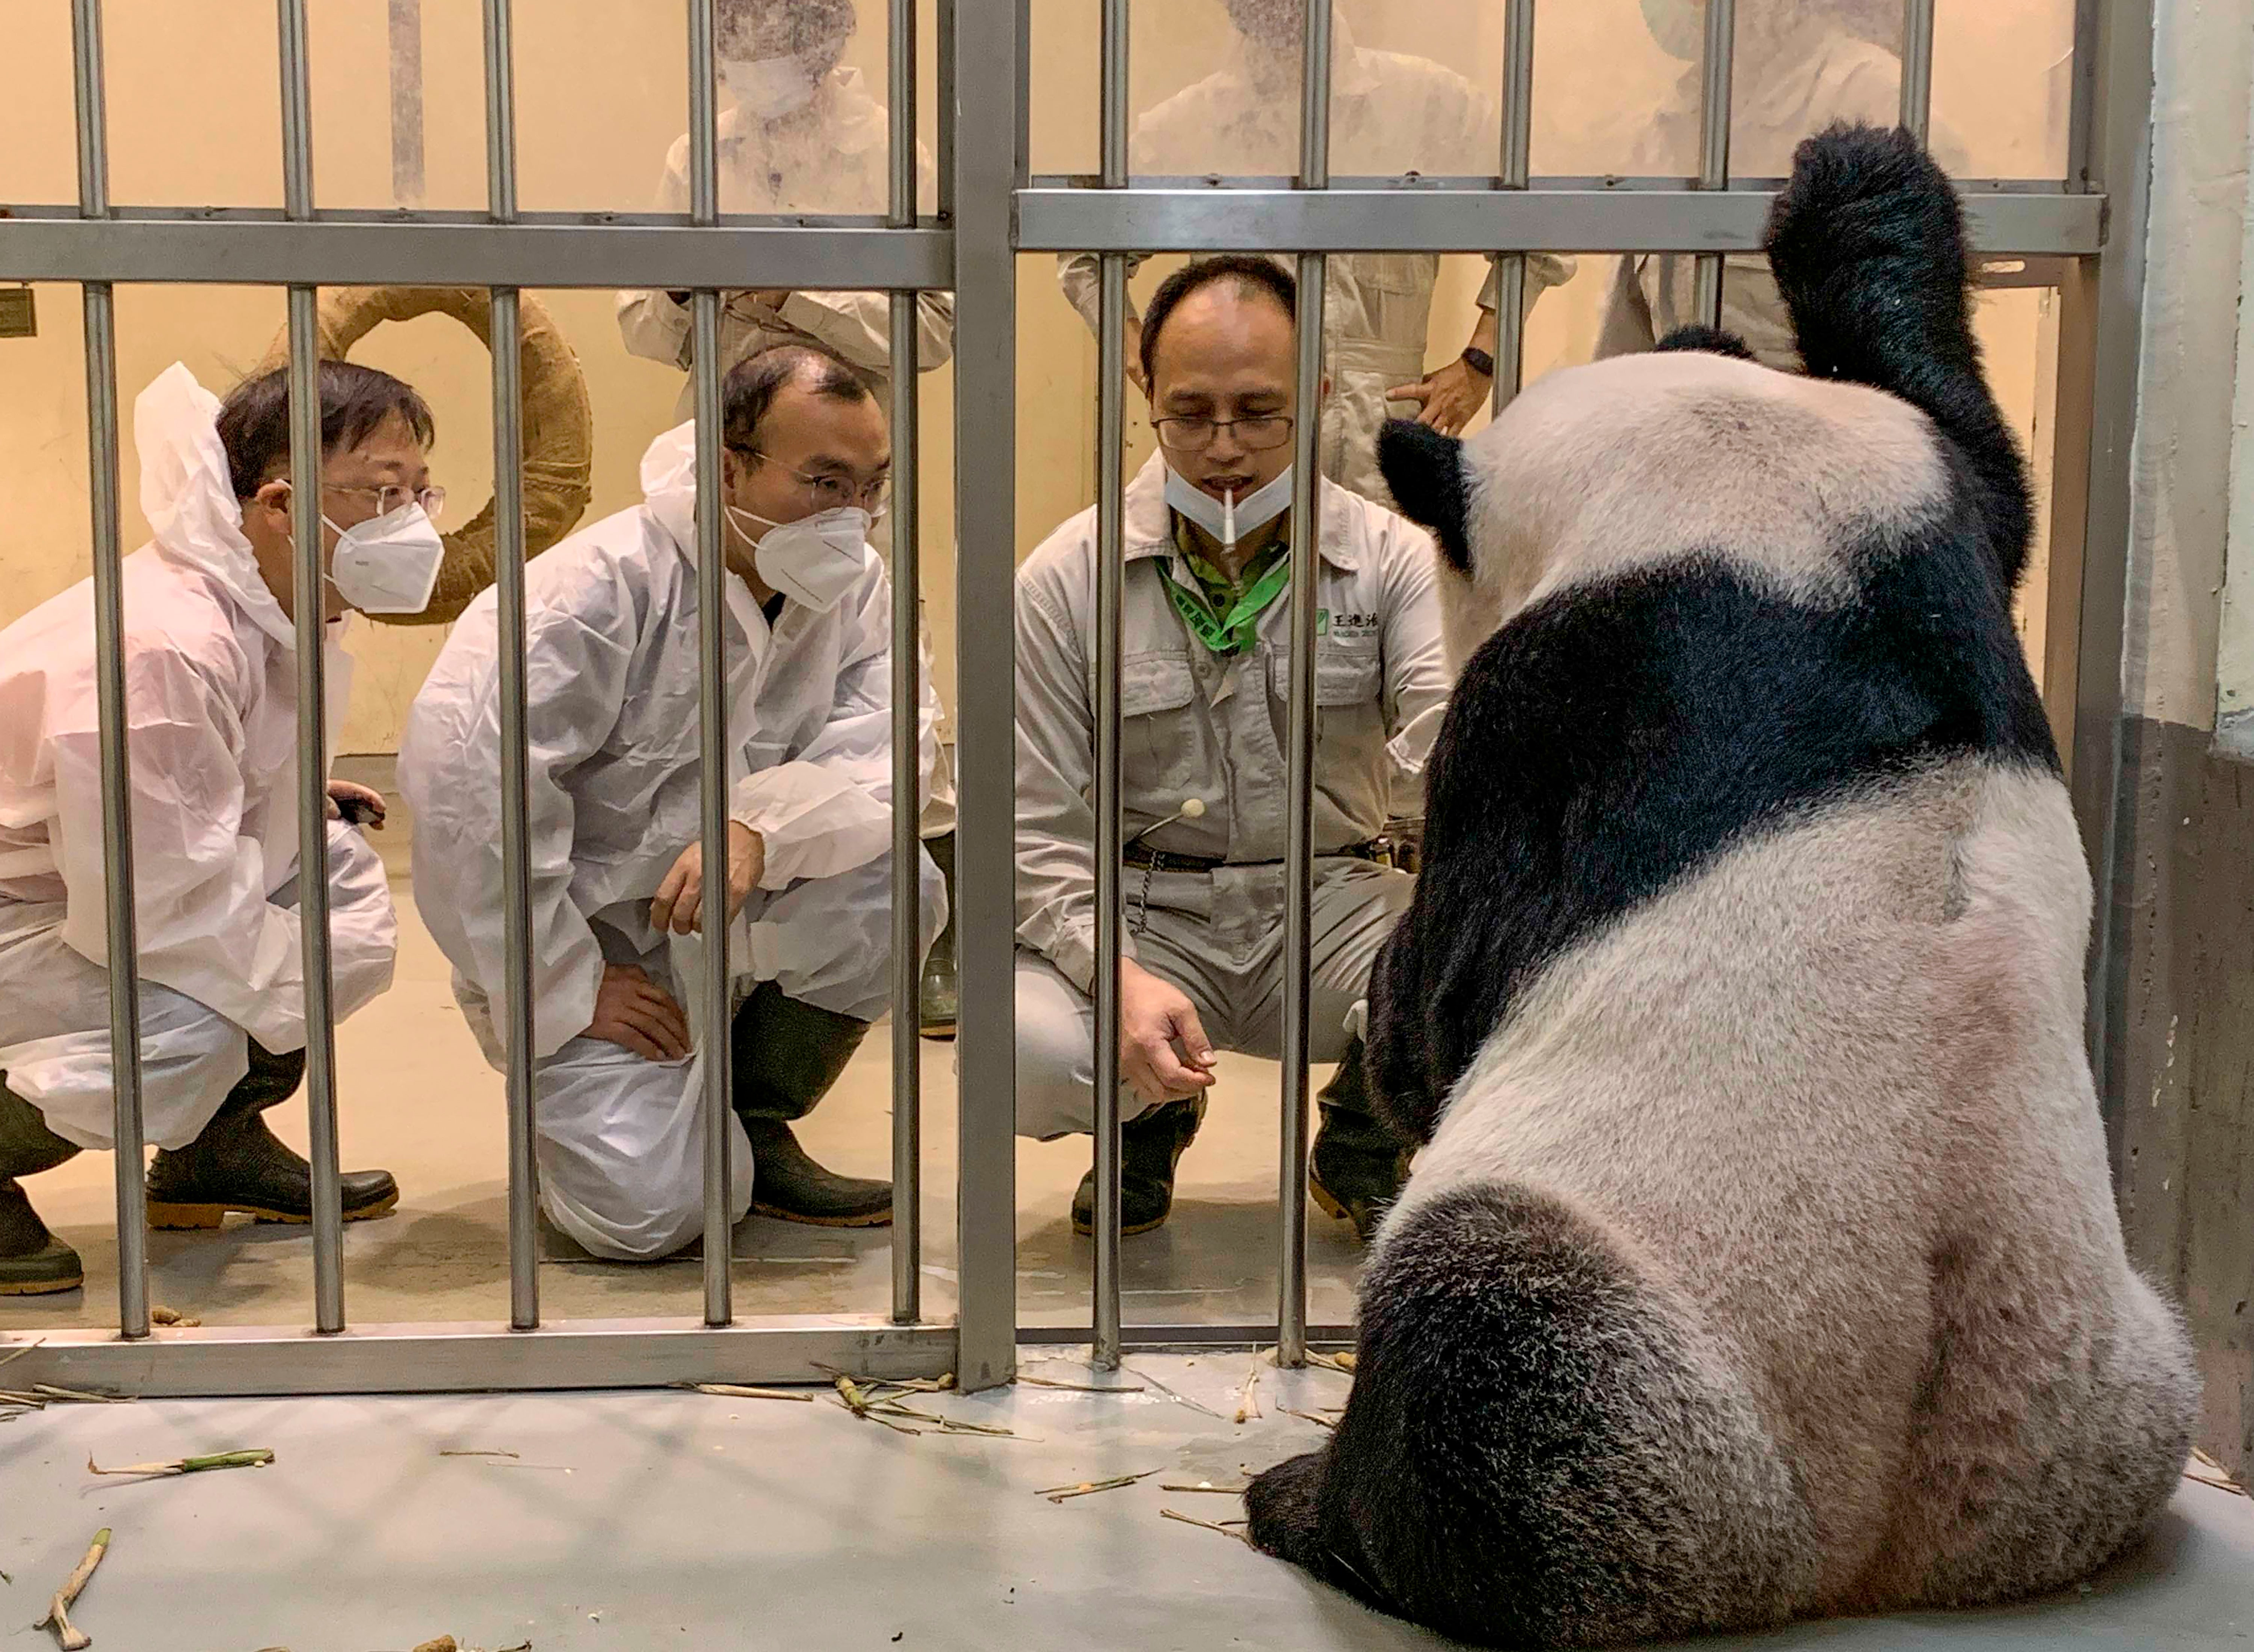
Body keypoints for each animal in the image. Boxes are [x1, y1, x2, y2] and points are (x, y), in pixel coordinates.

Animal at [1244, 122, 2191, 1641]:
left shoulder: (1542, 710)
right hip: (2116, 1374)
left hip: (1663, 1350)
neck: (1729, 506)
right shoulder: (1917, 512)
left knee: (1491, 1359)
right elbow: (1984, 453)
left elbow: (1442, 1003)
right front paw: (1854, 182)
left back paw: (1317, 1507)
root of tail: (1881, 1540)